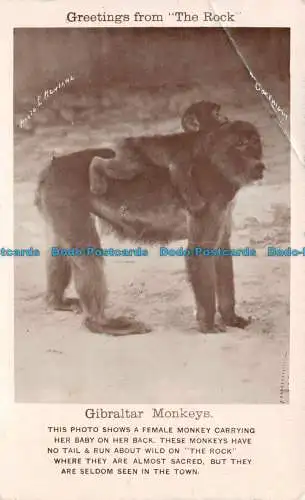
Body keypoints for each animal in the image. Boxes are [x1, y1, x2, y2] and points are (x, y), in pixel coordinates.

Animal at [35, 119, 264, 336]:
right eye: (241, 144)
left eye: (255, 143)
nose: (259, 164)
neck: (217, 167)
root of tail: (54, 165)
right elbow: (200, 252)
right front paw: (207, 324)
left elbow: (221, 250)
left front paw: (230, 317)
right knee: (88, 256)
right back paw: (100, 323)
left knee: (61, 247)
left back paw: (56, 301)